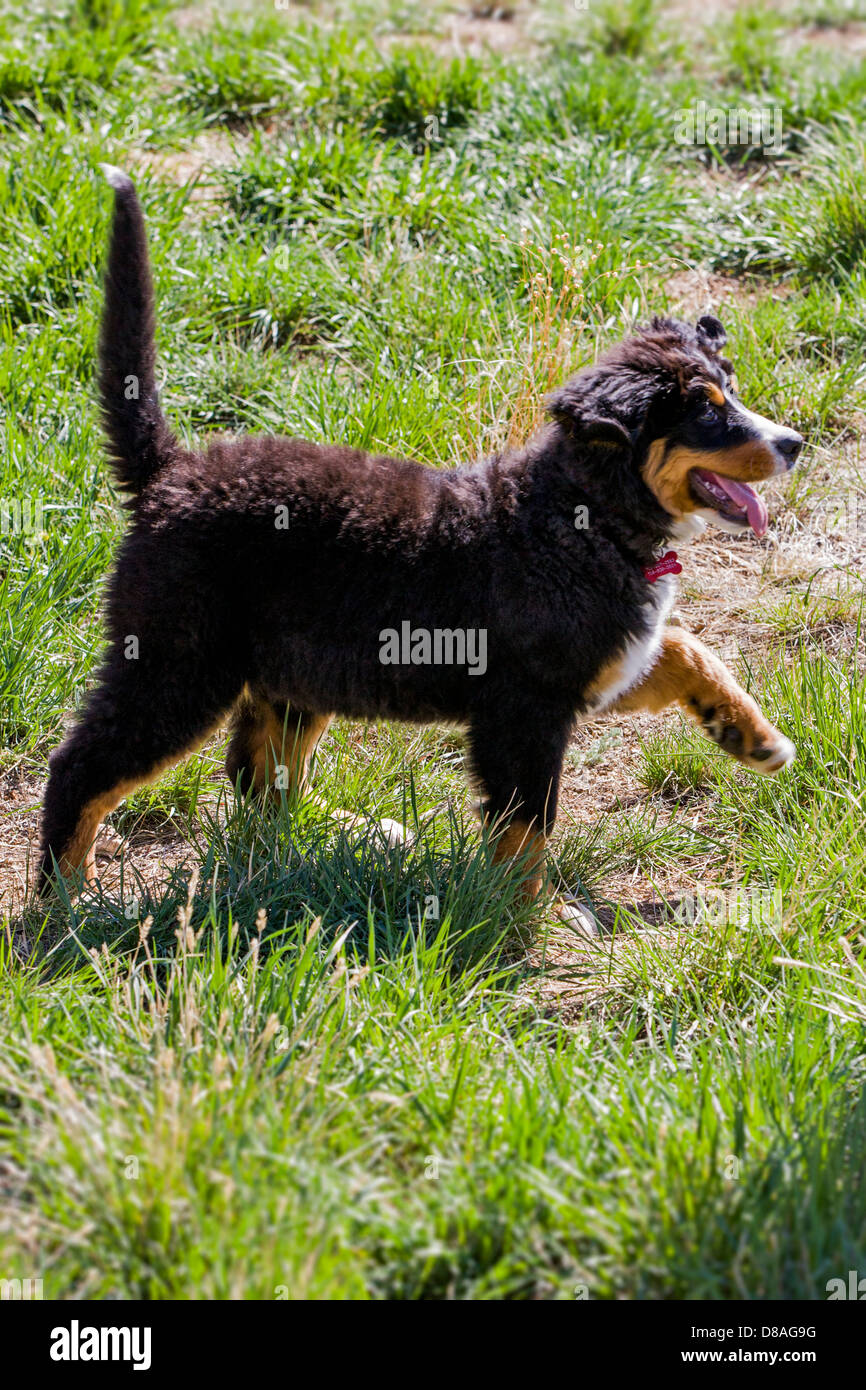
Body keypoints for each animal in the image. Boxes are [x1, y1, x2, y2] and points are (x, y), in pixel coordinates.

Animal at [38, 165, 800, 922]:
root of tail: (171, 473)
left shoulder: (597, 666)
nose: (793, 443)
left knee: (257, 781)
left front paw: (751, 737)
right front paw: (522, 916)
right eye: (706, 412)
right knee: (83, 767)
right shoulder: (525, 707)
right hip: (178, 665)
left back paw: (337, 841)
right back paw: (63, 898)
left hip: (292, 672)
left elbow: (686, 648)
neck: (585, 515)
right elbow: (528, 824)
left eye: (731, 392)